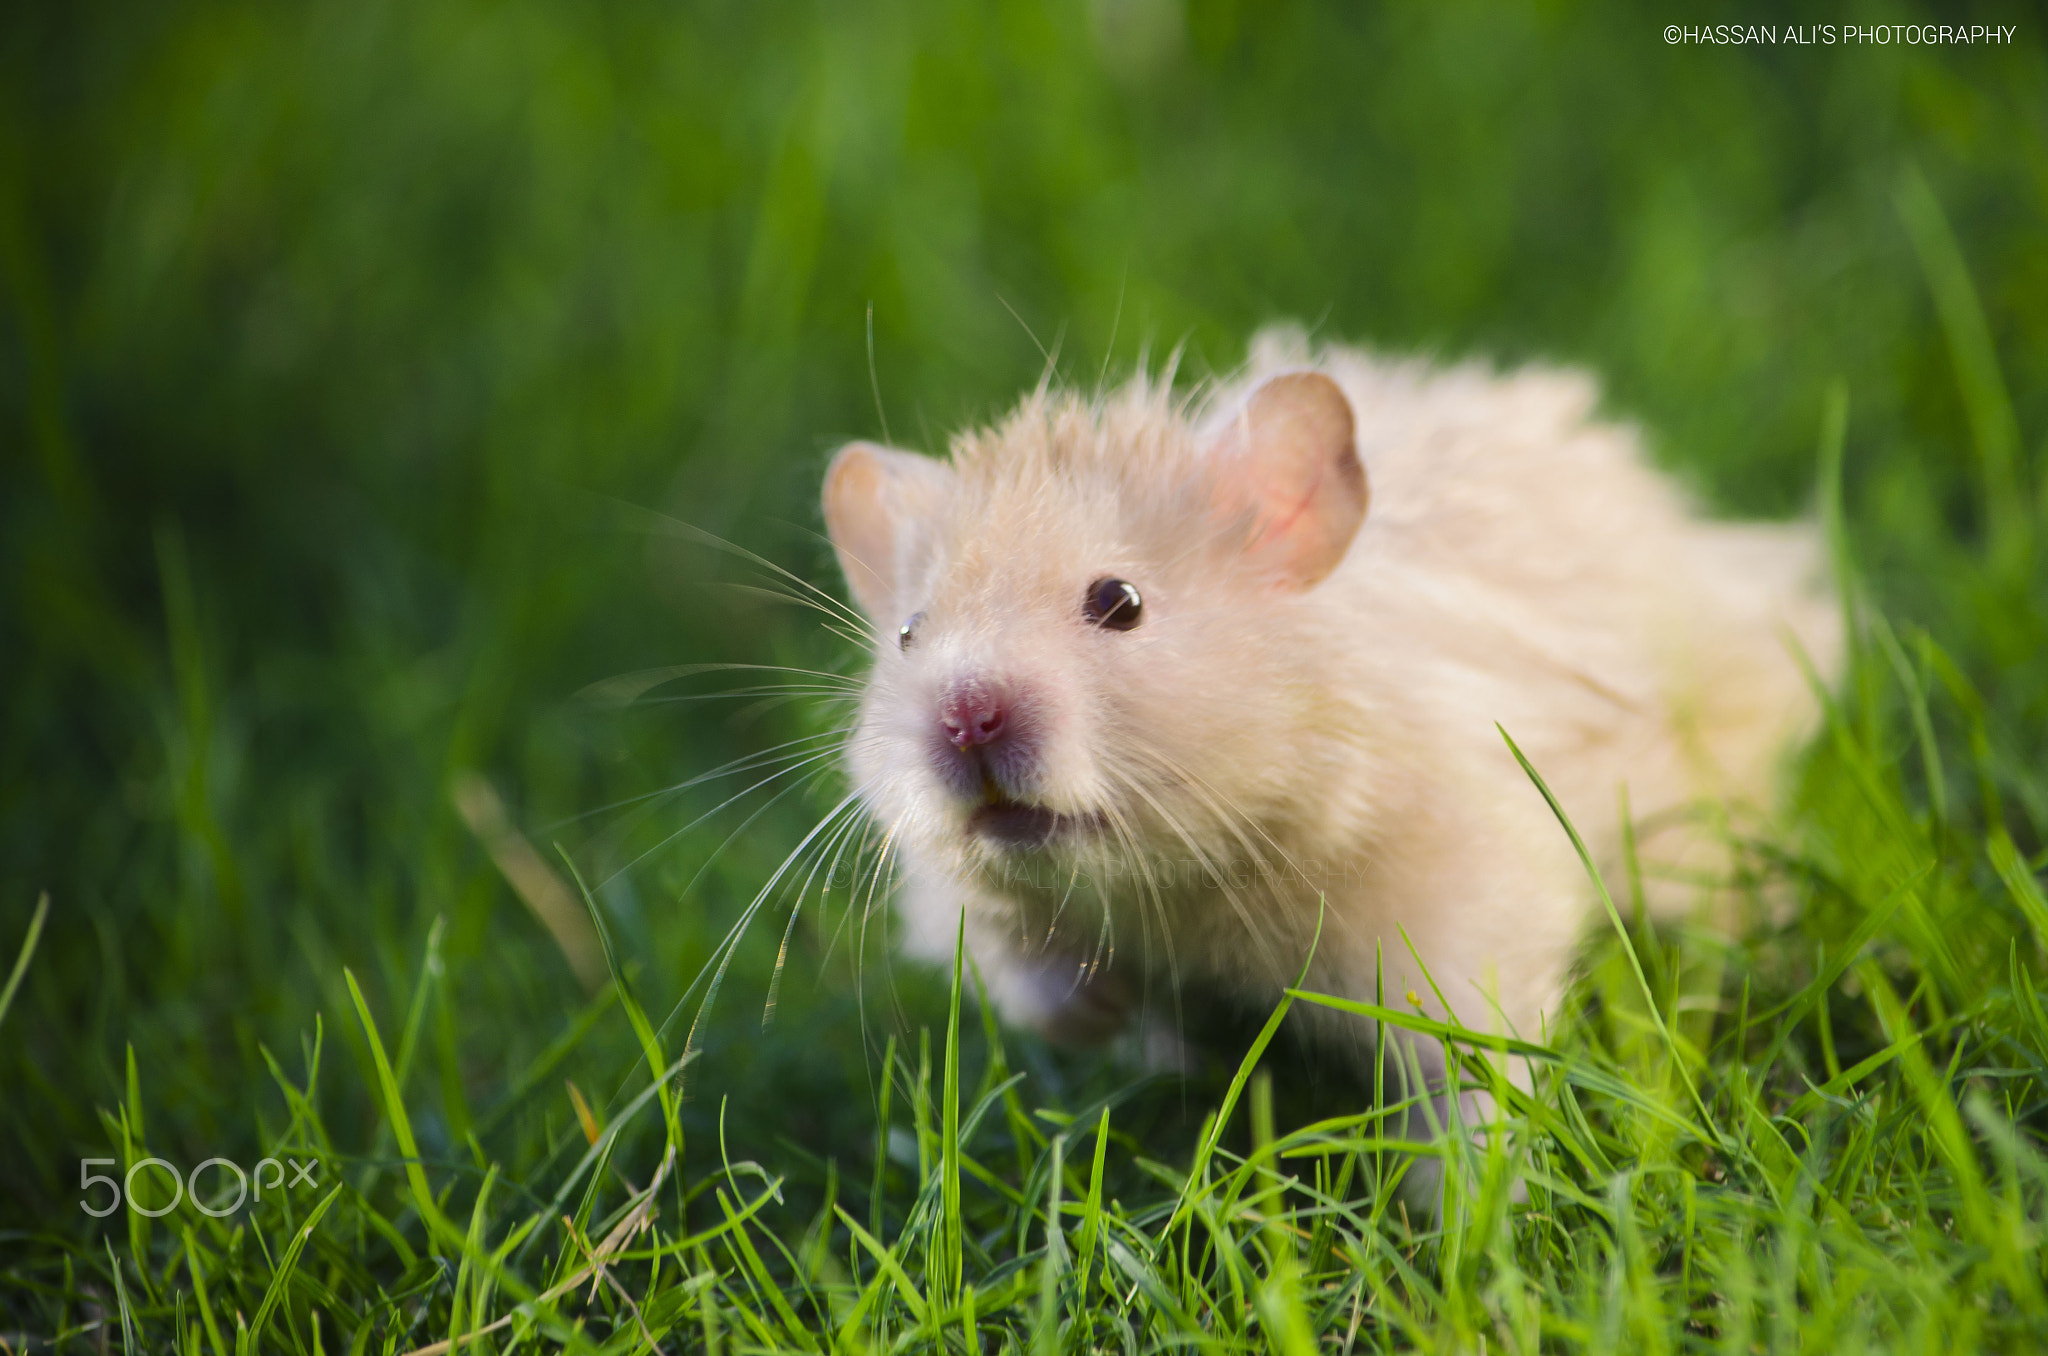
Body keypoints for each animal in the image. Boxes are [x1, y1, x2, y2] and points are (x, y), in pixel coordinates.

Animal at [820, 326, 1841, 1086]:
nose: (966, 718)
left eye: (1119, 602)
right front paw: (1107, 1010)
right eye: (909, 633)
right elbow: (1026, 977)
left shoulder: (1460, 913)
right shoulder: (972, 908)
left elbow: (1475, 1076)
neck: (1183, 882)